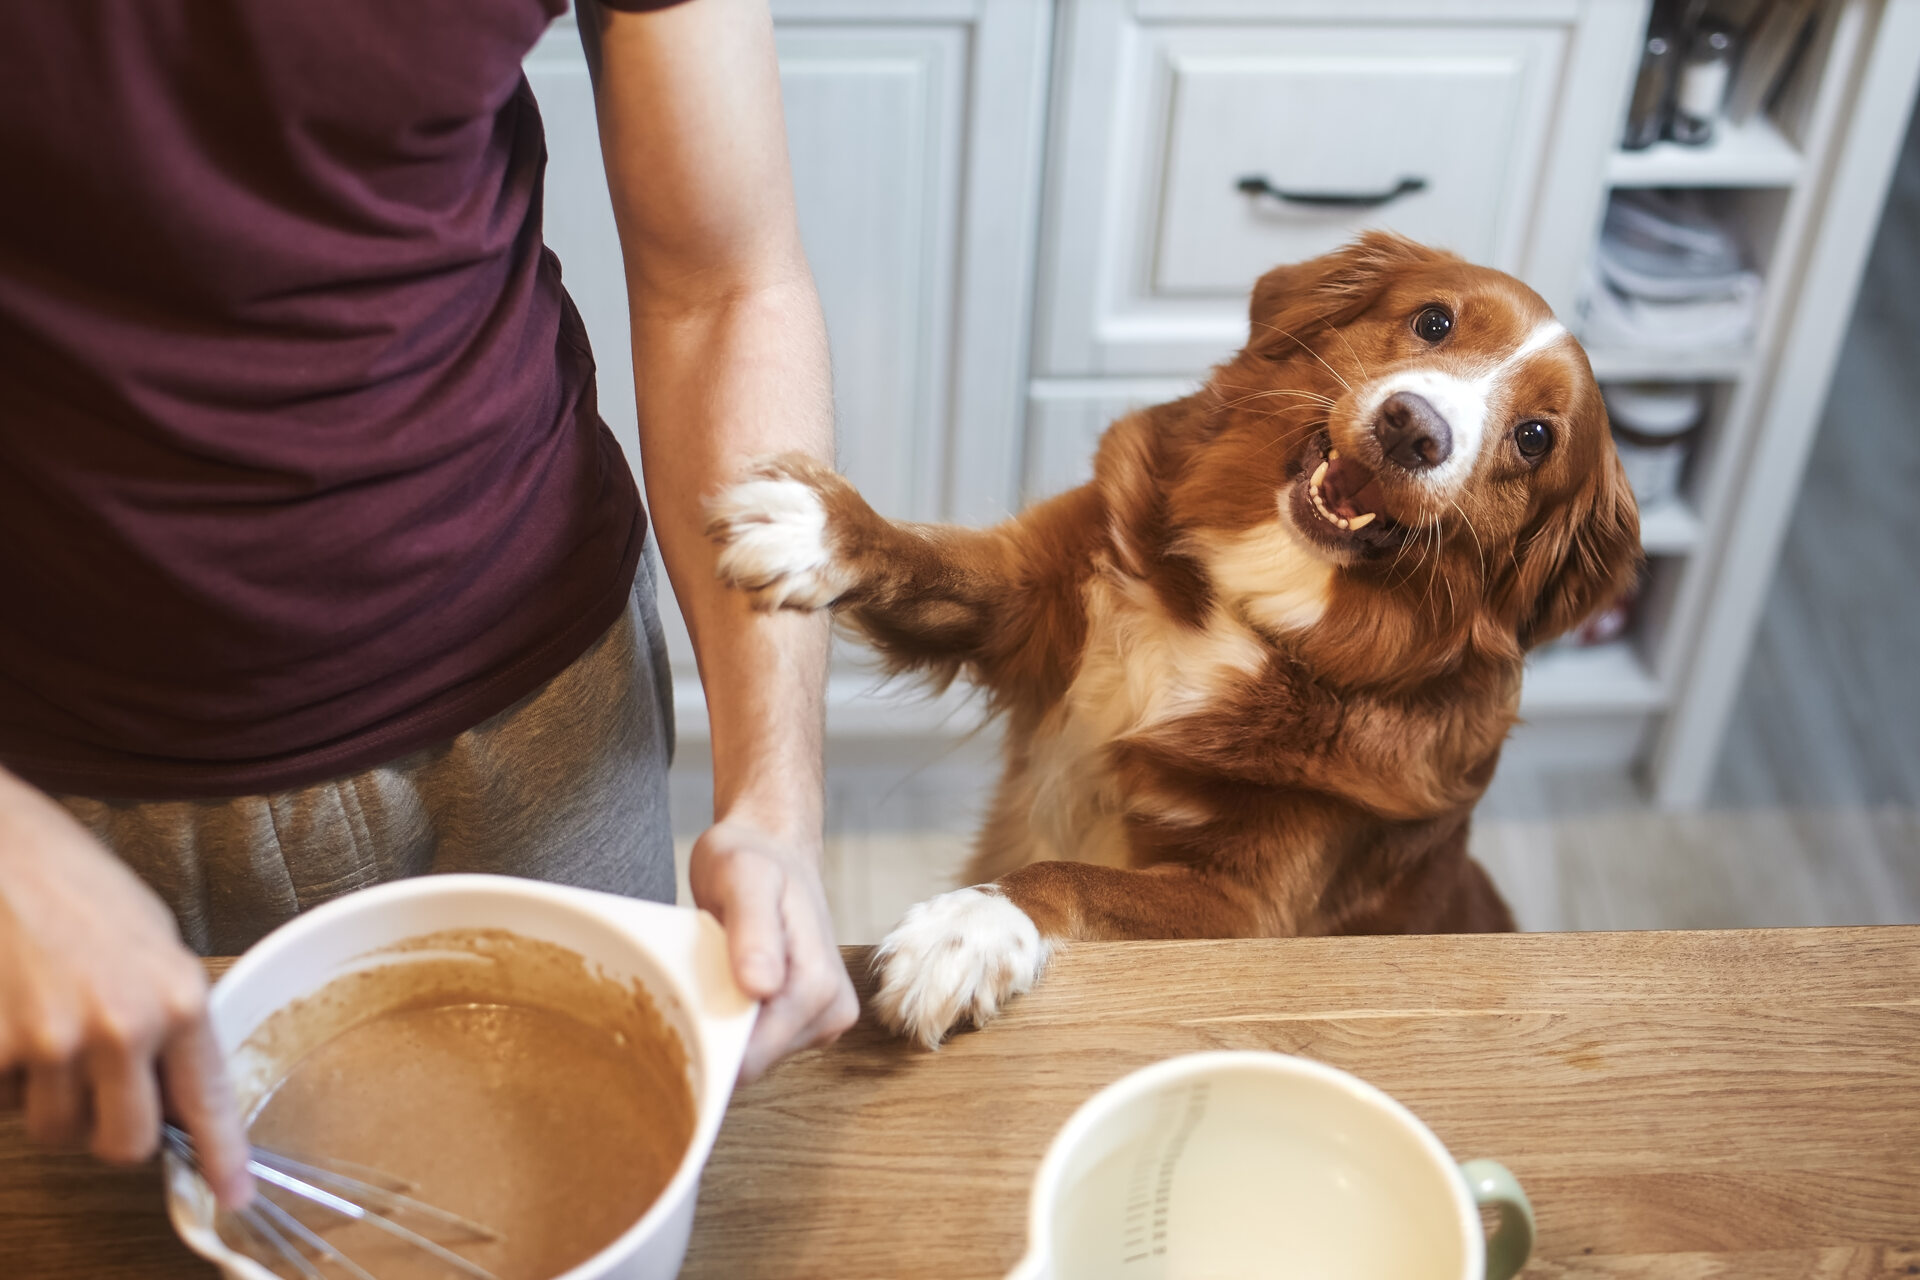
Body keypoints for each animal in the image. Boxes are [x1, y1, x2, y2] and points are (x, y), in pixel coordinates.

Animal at [706, 235, 1635, 1043]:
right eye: (1434, 321)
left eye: (1535, 438)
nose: (1414, 428)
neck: (1244, 612)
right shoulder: (1028, 602)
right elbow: (926, 558)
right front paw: (822, 530)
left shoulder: (1246, 907)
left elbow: (1076, 877)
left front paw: (973, 926)